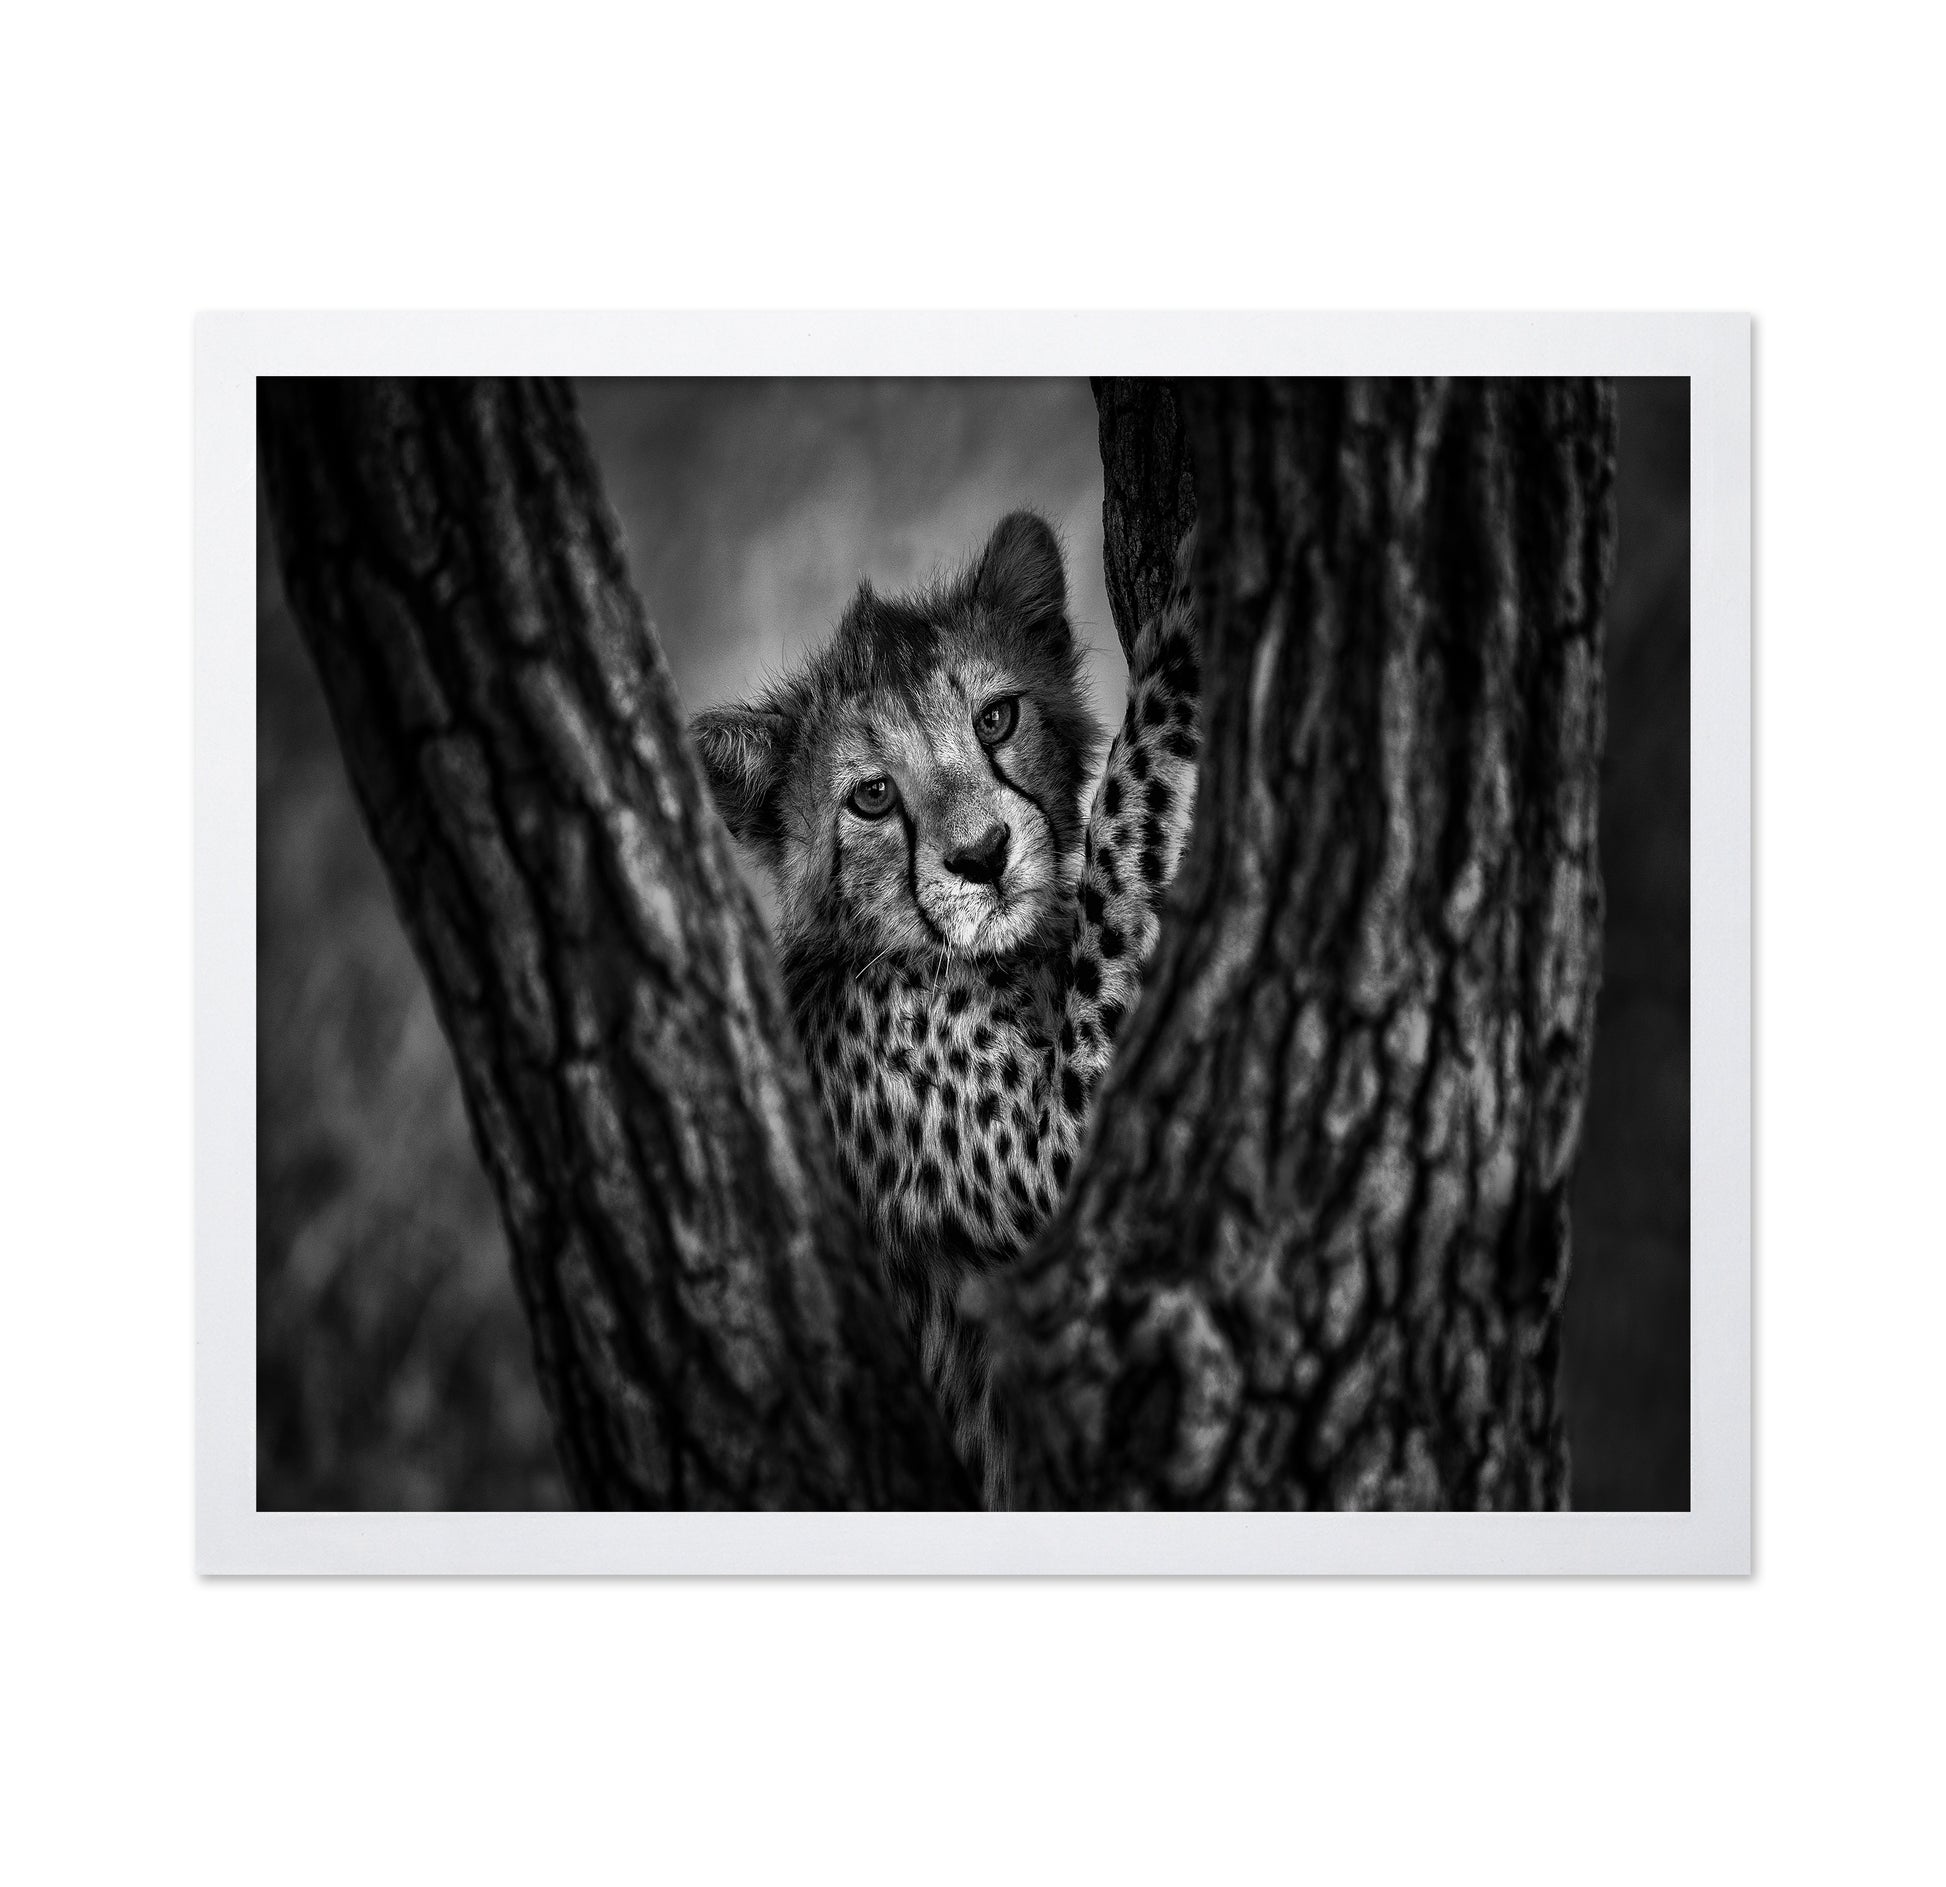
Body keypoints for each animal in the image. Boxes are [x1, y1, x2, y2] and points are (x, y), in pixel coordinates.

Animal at [692, 510, 1199, 1504]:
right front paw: (1184, 645)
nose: (983, 854)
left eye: (995, 718)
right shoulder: (1063, 1178)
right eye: (872, 795)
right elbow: (1124, 826)